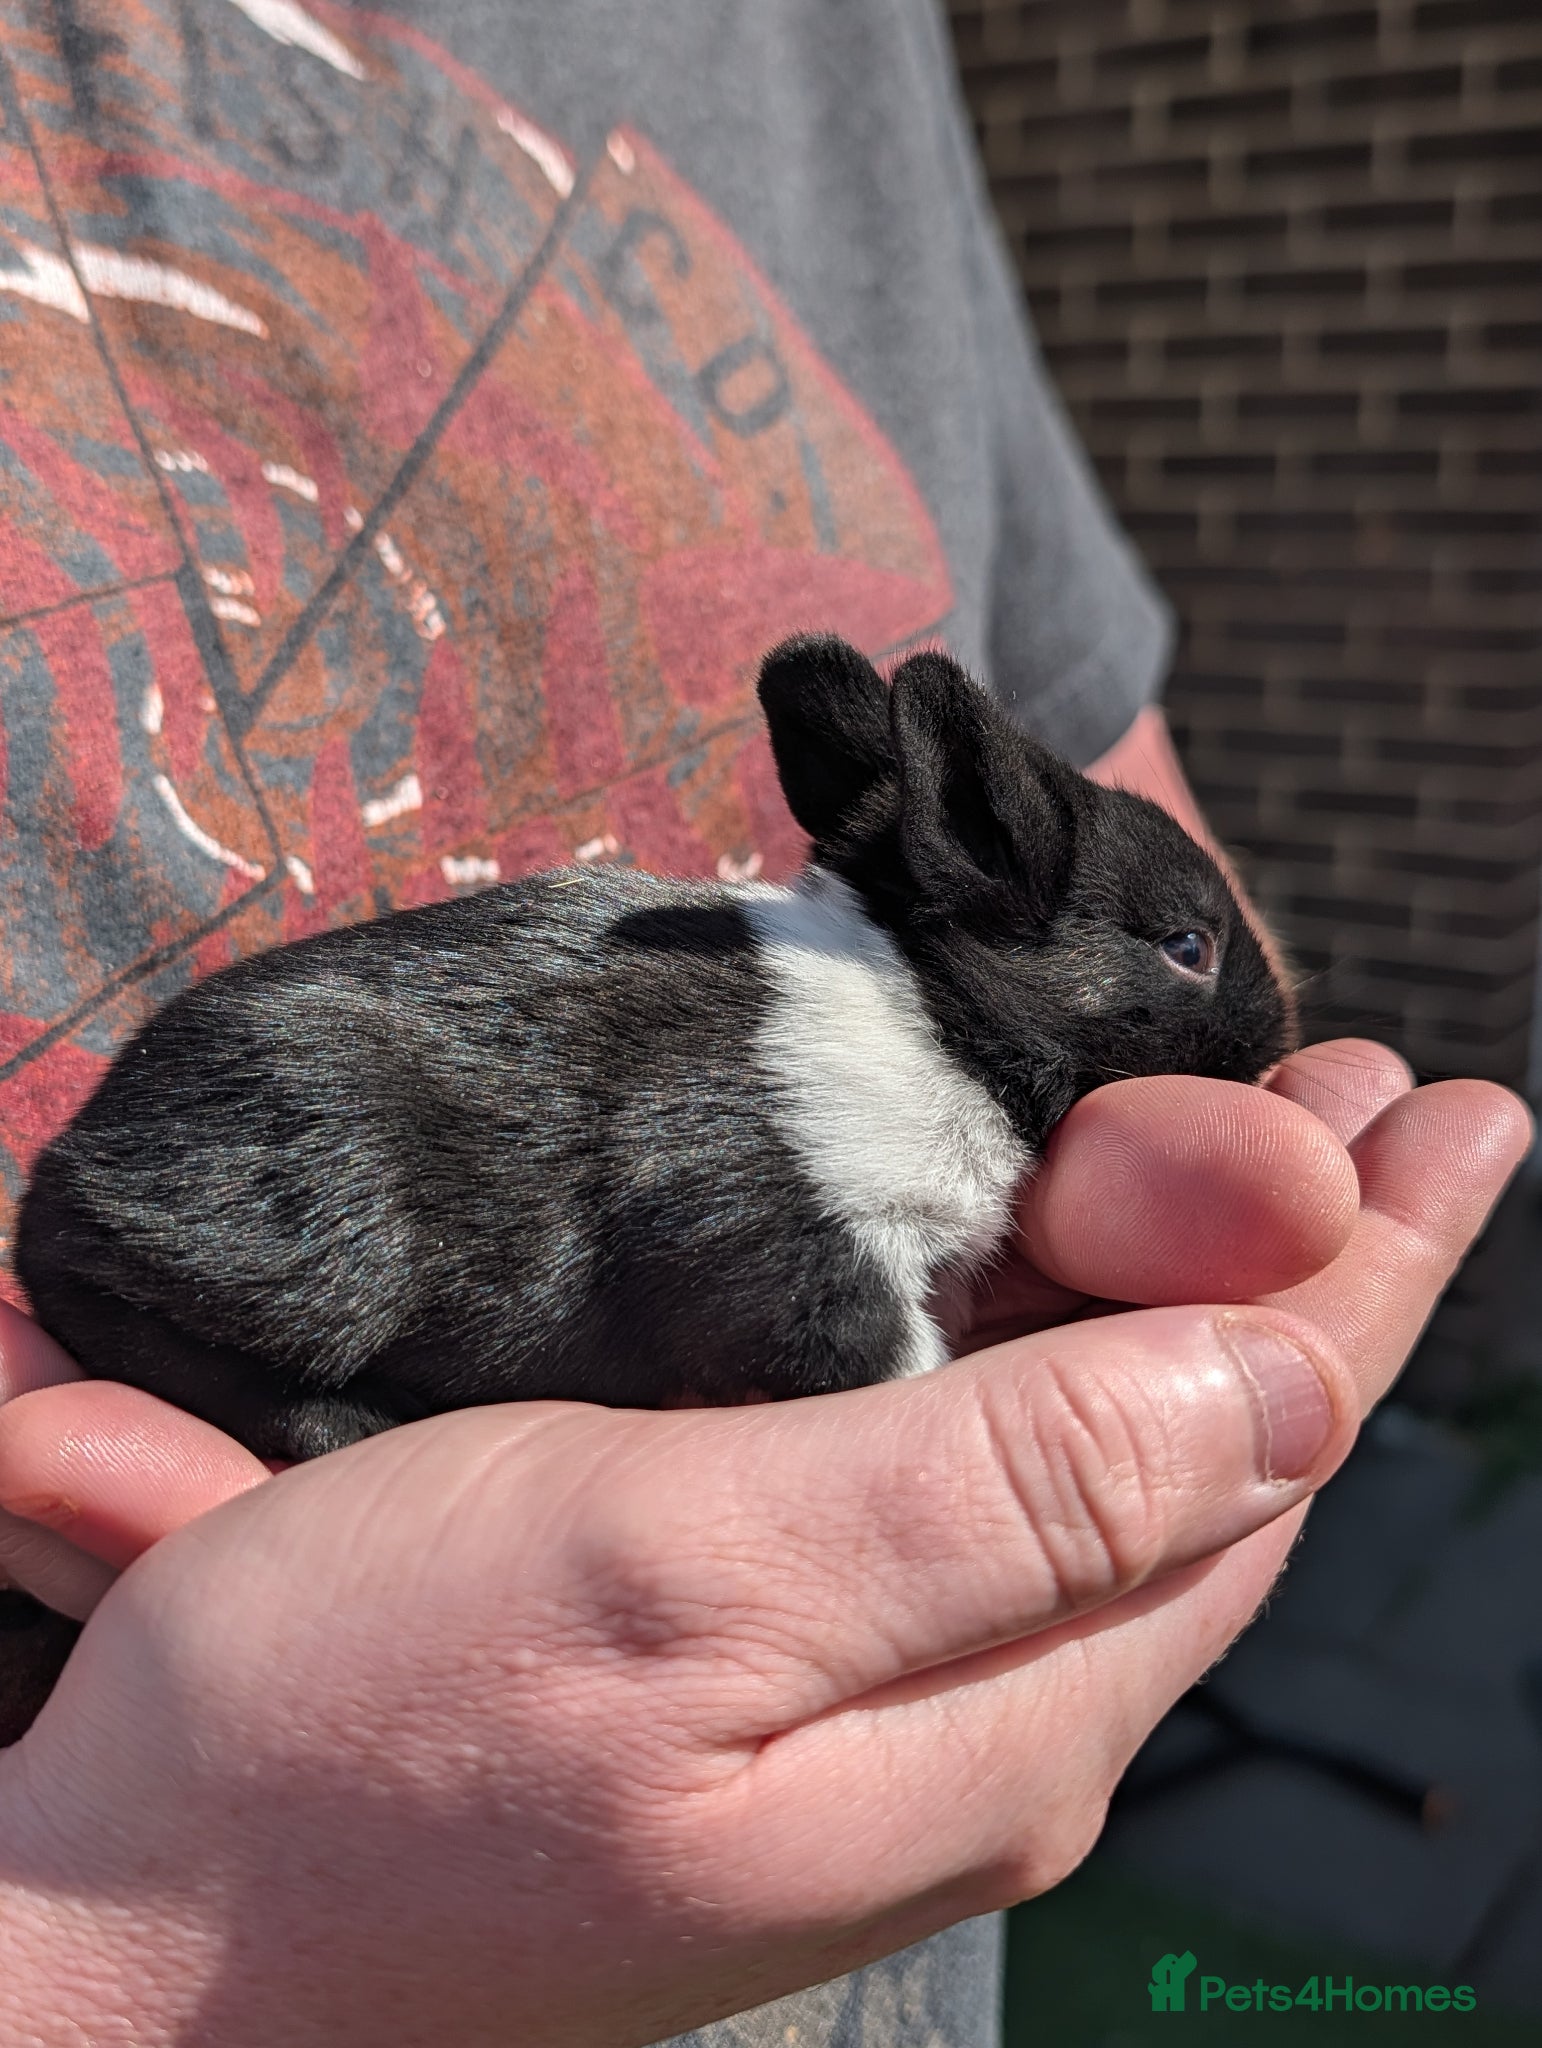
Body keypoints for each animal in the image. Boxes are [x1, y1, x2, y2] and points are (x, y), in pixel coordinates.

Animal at [15, 636, 1294, 1464]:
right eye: (1187, 945)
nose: (1279, 1030)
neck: (934, 1005)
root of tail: (69, 1164)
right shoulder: (803, 1247)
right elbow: (880, 1344)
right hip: (315, 1238)